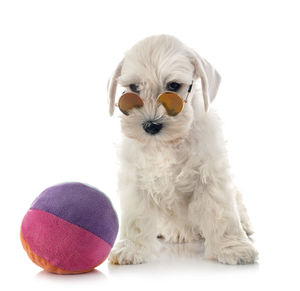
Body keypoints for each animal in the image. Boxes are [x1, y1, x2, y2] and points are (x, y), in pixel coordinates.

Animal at [107, 35, 258, 266]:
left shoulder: (210, 174)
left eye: (174, 85)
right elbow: (136, 218)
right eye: (133, 87)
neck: (168, 144)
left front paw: (233, 248)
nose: (151, 126)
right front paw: (130, 248)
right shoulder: (135, 179)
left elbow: (222, 214)